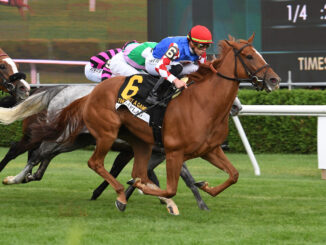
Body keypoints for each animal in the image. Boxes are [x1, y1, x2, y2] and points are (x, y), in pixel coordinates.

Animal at [7, 34, 280, 212]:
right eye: (249, 56)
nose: (274, 80)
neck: (202, 103)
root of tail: (85, 95)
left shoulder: (207, 150)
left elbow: (232, 175)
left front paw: (204, 189)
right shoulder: (173, 151)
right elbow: (170, 185)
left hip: (89, 138)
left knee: (48, 154)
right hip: (98, 134)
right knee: (66, 157)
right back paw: (18, 177)